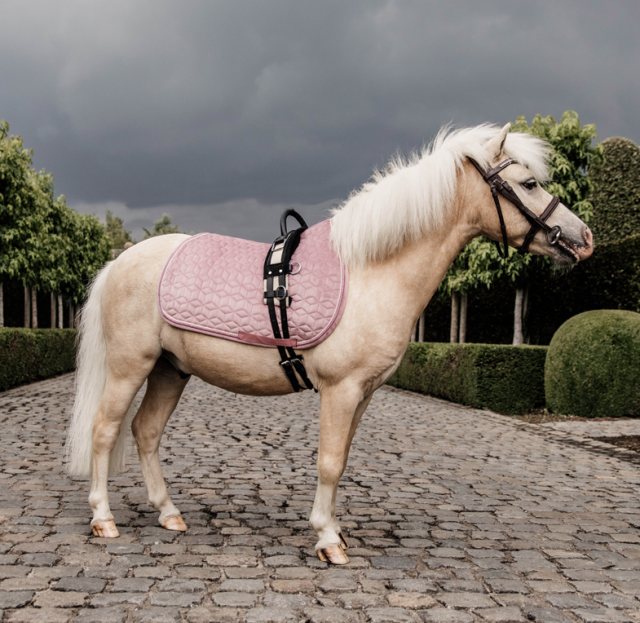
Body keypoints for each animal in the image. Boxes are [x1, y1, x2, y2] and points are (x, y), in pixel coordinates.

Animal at [65, 123, 593, 565]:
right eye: (529, 183)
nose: (583, 238)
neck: (369, 272)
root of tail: (120, 261)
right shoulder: (341, 390)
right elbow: (330, 462)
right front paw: (327, 541)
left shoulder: (363, 394)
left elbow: (341, 462)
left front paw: (333, 530)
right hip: (129, 367)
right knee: (105, 431)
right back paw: (104, 519)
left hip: (171, 369)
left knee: (146, 432)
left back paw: (169, 513)